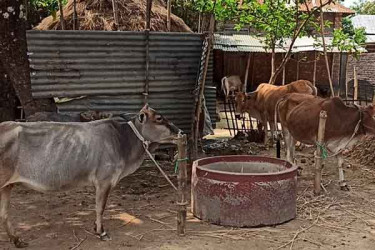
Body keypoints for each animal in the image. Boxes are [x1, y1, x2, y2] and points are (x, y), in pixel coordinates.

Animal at [0, 104, 181, 247]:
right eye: (159, 118)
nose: (180, 132)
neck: (123, 140)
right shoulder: (104, 181)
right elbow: (100, 207)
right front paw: (101, 232)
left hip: (7, 186)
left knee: (4, 213)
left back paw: (17, 240)